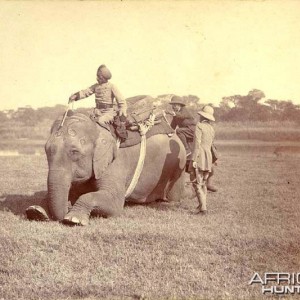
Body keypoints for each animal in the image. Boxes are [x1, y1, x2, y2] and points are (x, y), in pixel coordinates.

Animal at [25, 112, 186, 225]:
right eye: (46, 150)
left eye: (74, 152)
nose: (67, 208)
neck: (98, 128)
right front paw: (36, 212)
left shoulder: (115, 162)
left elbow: (115, 203)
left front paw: (73, 219)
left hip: (178, 165)